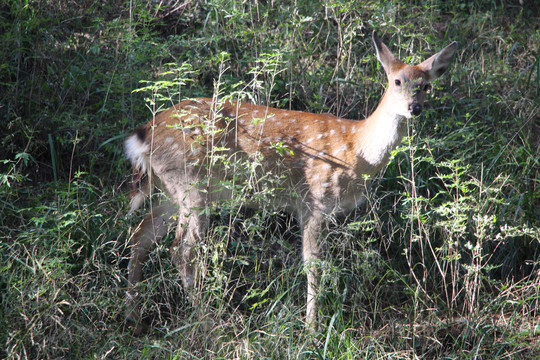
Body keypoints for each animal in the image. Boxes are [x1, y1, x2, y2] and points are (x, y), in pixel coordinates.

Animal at [125, 32, 456, 334]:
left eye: (426, 86)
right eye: (397, 81)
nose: (414, 107)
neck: (356, 147)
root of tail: (144, 134)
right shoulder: (315, 199)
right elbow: (312, 264)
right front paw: (312, 330)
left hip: (171, 189)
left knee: (140, 235)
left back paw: (134, 316)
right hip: (193, 185)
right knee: (181, 251)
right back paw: (207, 323)